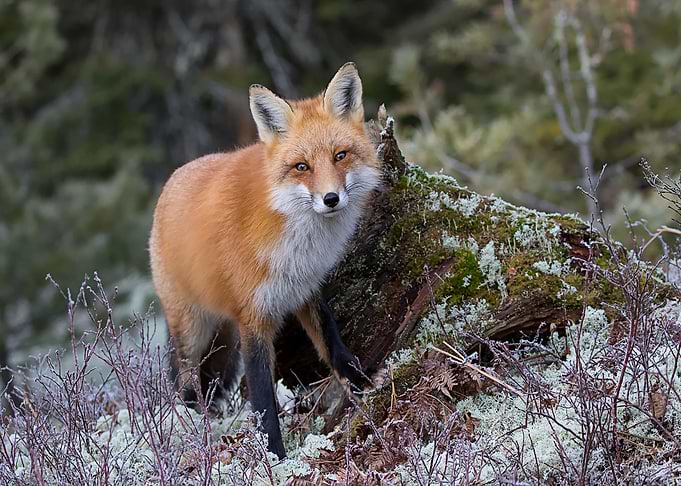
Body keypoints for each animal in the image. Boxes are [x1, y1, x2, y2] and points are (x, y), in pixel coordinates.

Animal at [149, 62, 381, 458]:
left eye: (340, 155)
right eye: (302, 166)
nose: (331, 199)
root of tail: (172, 181)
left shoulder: (306, 288)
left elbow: (332, 343)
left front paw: (358, 380)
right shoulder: (252, 317)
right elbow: (262, 398)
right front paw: (274, 454)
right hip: (191, 328)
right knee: (184, 382)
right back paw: (195, 425)